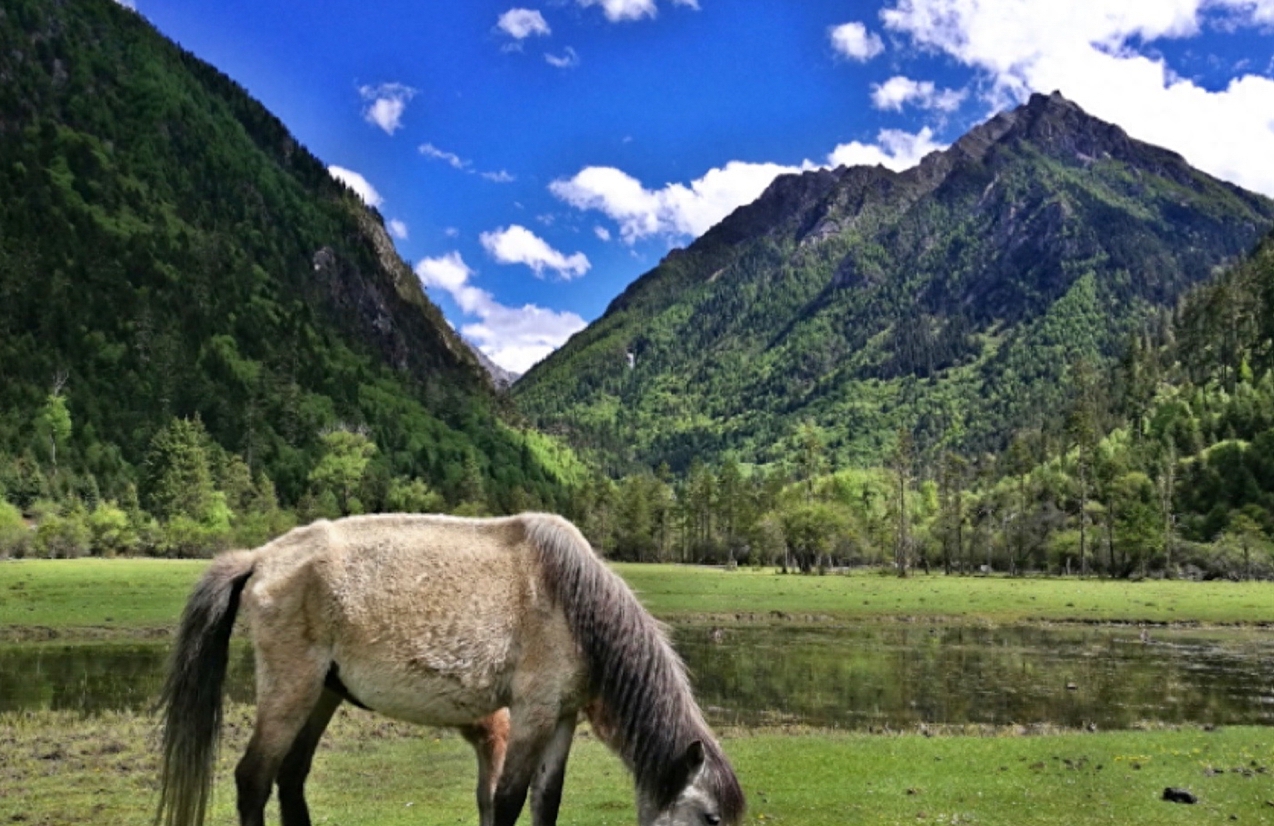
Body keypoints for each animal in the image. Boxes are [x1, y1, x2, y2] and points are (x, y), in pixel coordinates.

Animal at [156, 509, 744, 826]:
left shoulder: (560, 718)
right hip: (291, 690)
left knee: (291, 777)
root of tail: (260, 558)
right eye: (711, 818)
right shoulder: (531, 715)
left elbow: (545, 802)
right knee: (254, 779)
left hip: (322, 693)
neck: (575, 606)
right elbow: (507, 801)